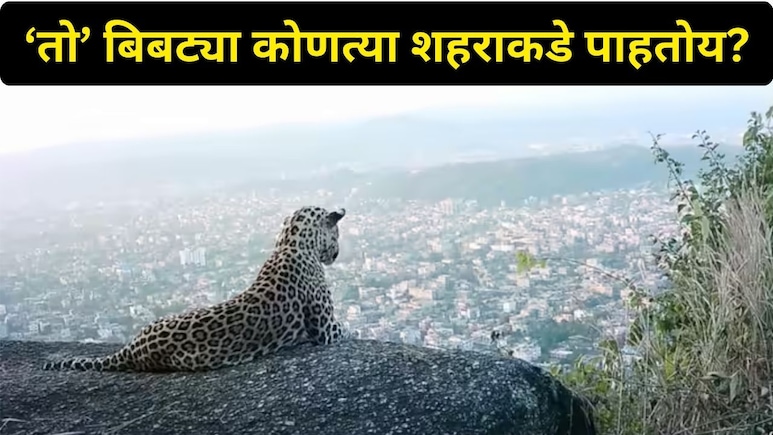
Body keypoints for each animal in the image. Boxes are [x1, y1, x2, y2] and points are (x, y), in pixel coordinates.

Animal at [42, 205, 351, 372]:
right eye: (337, 234)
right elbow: (344, 330)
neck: (291, 243)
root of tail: (131, 348)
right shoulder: (325, 329)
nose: (337, 253)